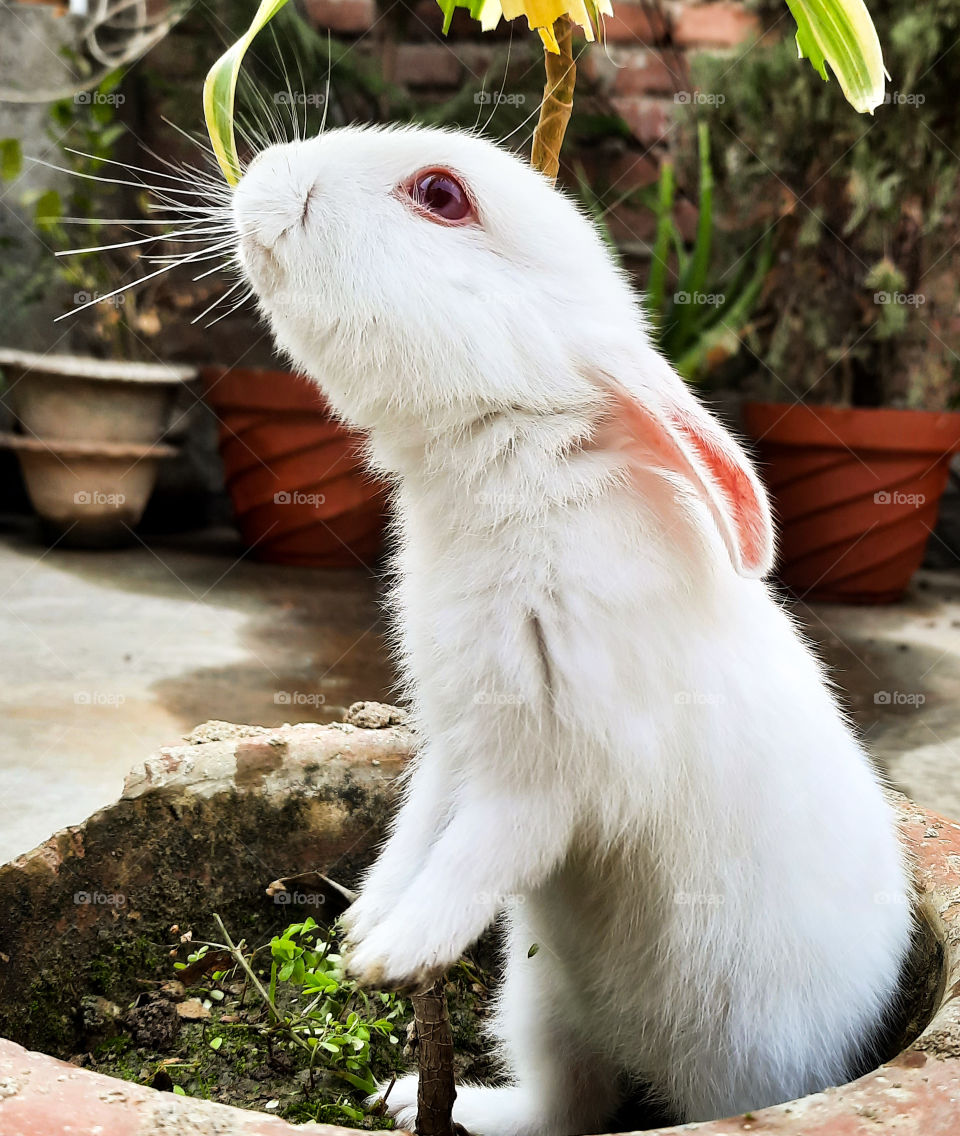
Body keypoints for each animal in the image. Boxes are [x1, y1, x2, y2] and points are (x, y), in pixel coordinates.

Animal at [231, 124, 913, 1132]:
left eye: (441, 196)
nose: (262, 175)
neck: (511, 461)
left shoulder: (554, 774)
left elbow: (480, 849)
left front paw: (390, 953)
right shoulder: (455, 744)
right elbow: (416, 829)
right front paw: (367, 920)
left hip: (731, 1055)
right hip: (541, 998)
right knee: (566, 1106)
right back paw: (423, 1099)